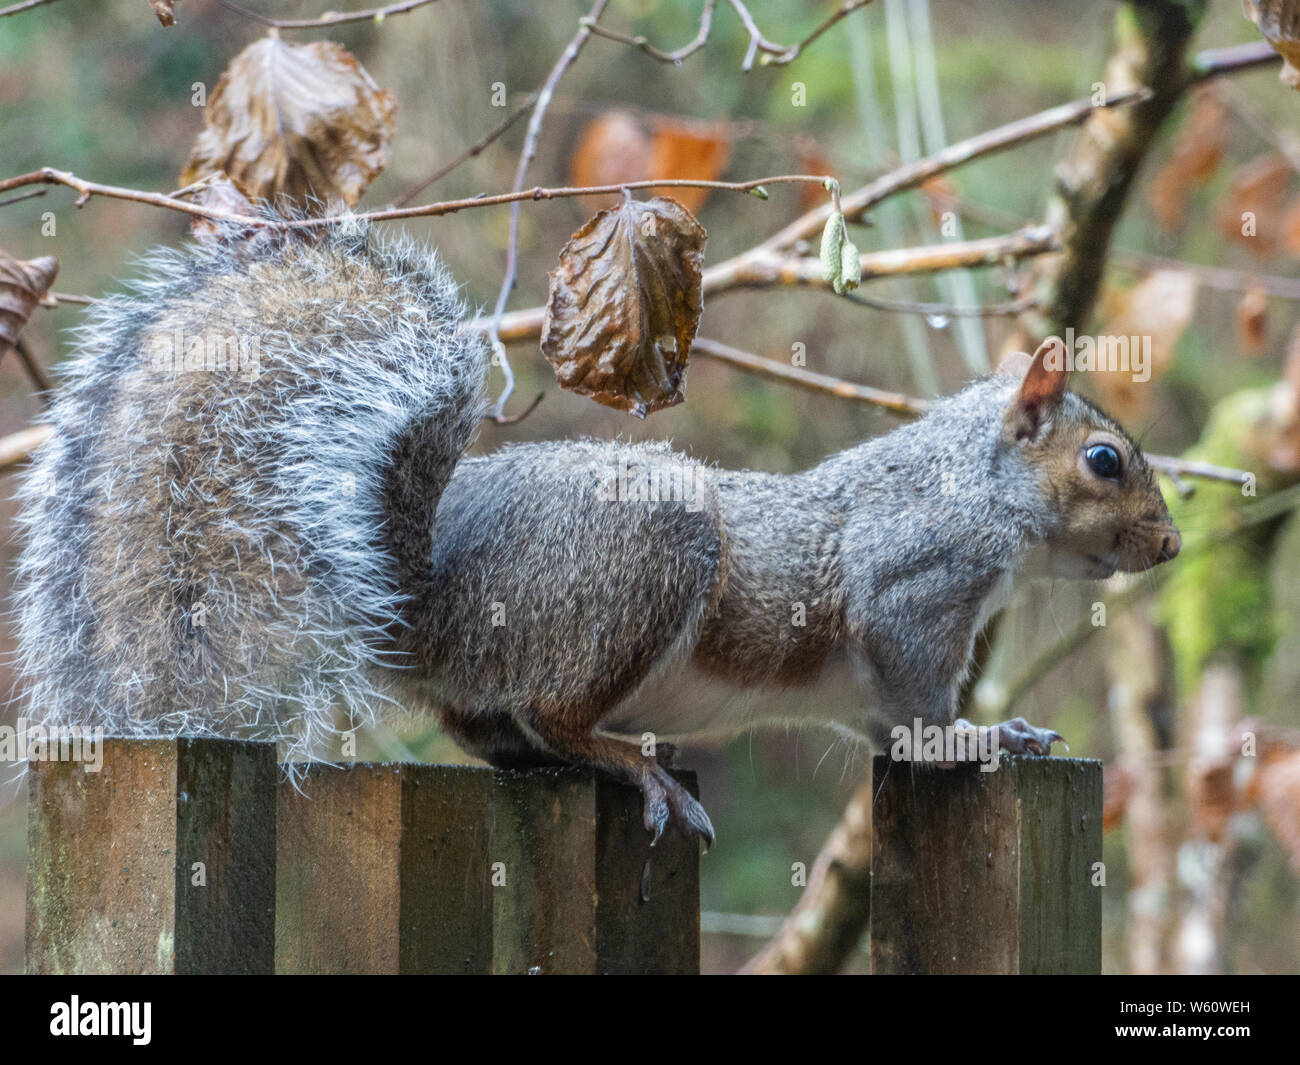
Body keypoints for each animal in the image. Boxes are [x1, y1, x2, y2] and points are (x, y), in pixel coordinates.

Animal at [15, 219, 1181, 847]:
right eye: (1104, 461)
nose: (1169, 548)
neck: (977, 490)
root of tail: (418, 588)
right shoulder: (913, 590)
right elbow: (922, 710)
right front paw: (983, 738)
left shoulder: (882, 678)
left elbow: (892, 734)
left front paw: (1006, 732)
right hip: (645, 560)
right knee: (549, 710)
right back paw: (628, 762)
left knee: (490, 724)